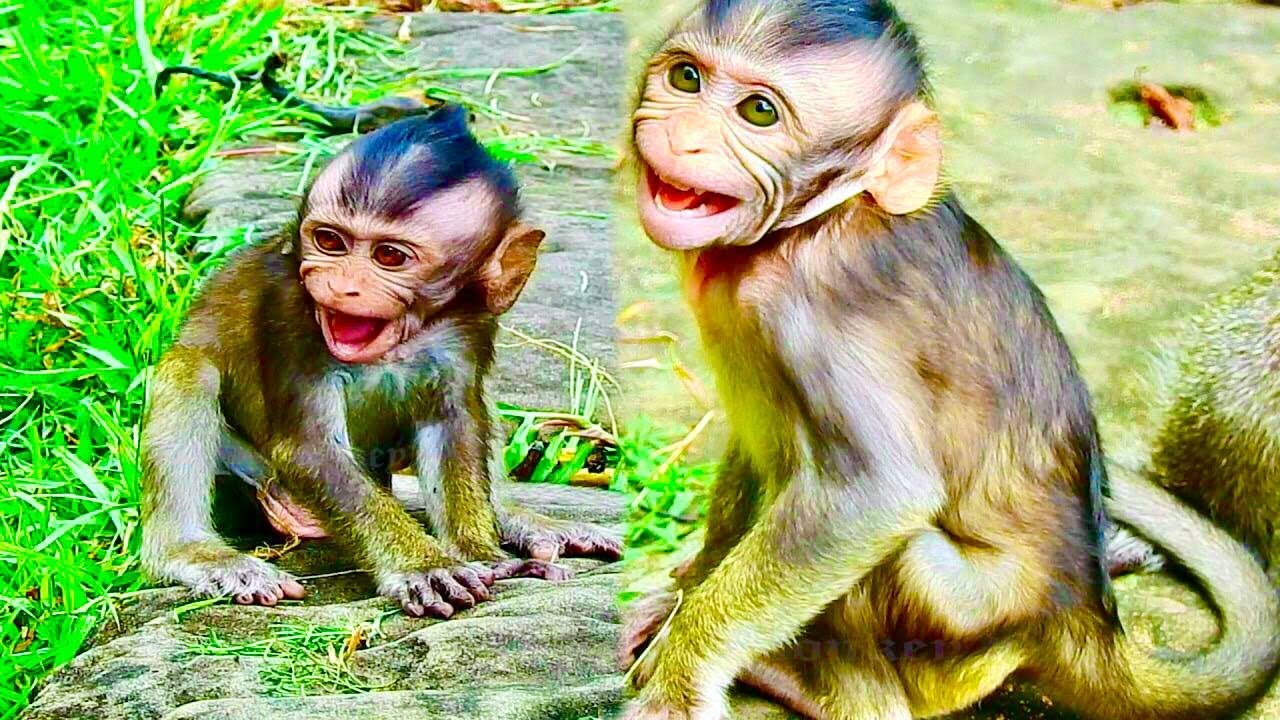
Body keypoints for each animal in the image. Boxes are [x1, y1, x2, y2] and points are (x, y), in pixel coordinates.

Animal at [141, 105, 621, 617]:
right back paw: (195, 552)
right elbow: (310, 449)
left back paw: (517, 519)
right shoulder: (290, 309)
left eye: (389, 255)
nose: (340, 286)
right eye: (330, 241)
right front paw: (424, 566)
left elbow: (455, 426)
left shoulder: (469, 325)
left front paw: (483, 555)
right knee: (189, 370)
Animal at [614, 2, 1280, 719]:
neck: (811, 222)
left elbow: (876, 491)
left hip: (964, 616)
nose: (684, 136)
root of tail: (1085, 617)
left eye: (759, 113)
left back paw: (812, 686)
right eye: (686, 78)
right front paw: (684, 589)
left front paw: (681, 678)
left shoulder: (816, 311)